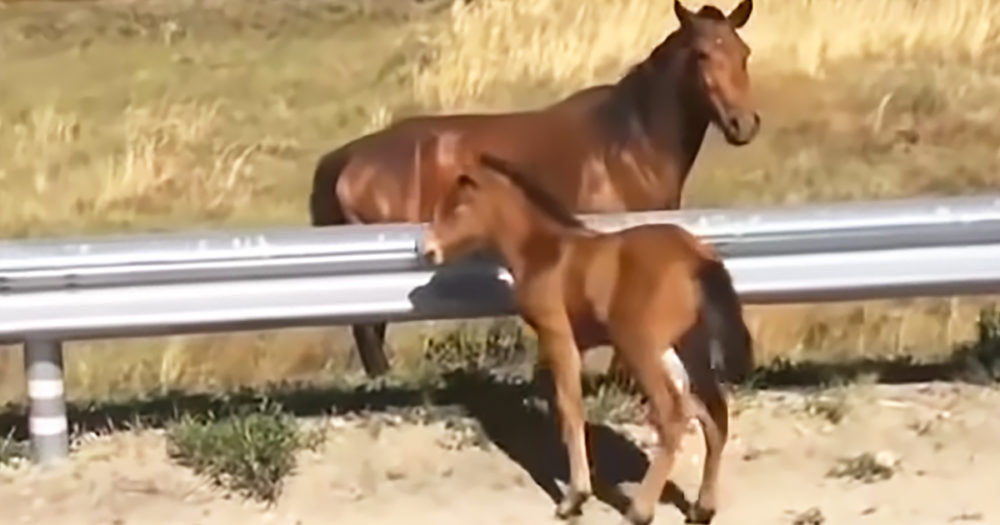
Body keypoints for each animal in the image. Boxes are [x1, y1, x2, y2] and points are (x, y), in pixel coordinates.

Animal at [421, 151, 754, 525]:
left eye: (457, 206)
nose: (428, 251)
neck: (544, 251)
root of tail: (699, 258)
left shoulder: (557, 334)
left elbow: (570, 408)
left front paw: (574, 499)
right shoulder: (577, 343)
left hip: (639, 345)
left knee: (673, 415)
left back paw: (639, 510)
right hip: (688, 347)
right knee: (714, 414)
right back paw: (702, 508)